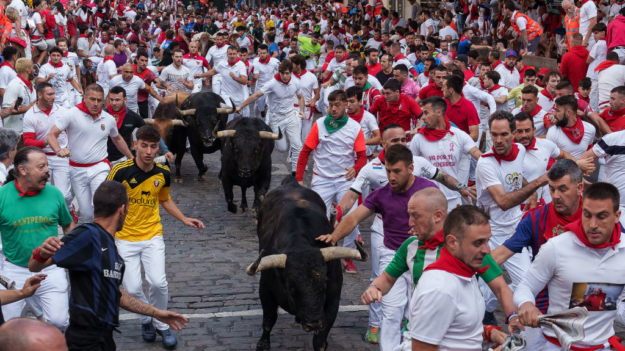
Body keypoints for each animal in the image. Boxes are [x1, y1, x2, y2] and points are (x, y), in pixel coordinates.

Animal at [246, 179, 368, 351]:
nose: (313, 323)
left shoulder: (333, 298)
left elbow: (320, 339)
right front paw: (262, 344)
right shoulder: (265, 289)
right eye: (290, 286)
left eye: (324, 282)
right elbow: (269, 320)